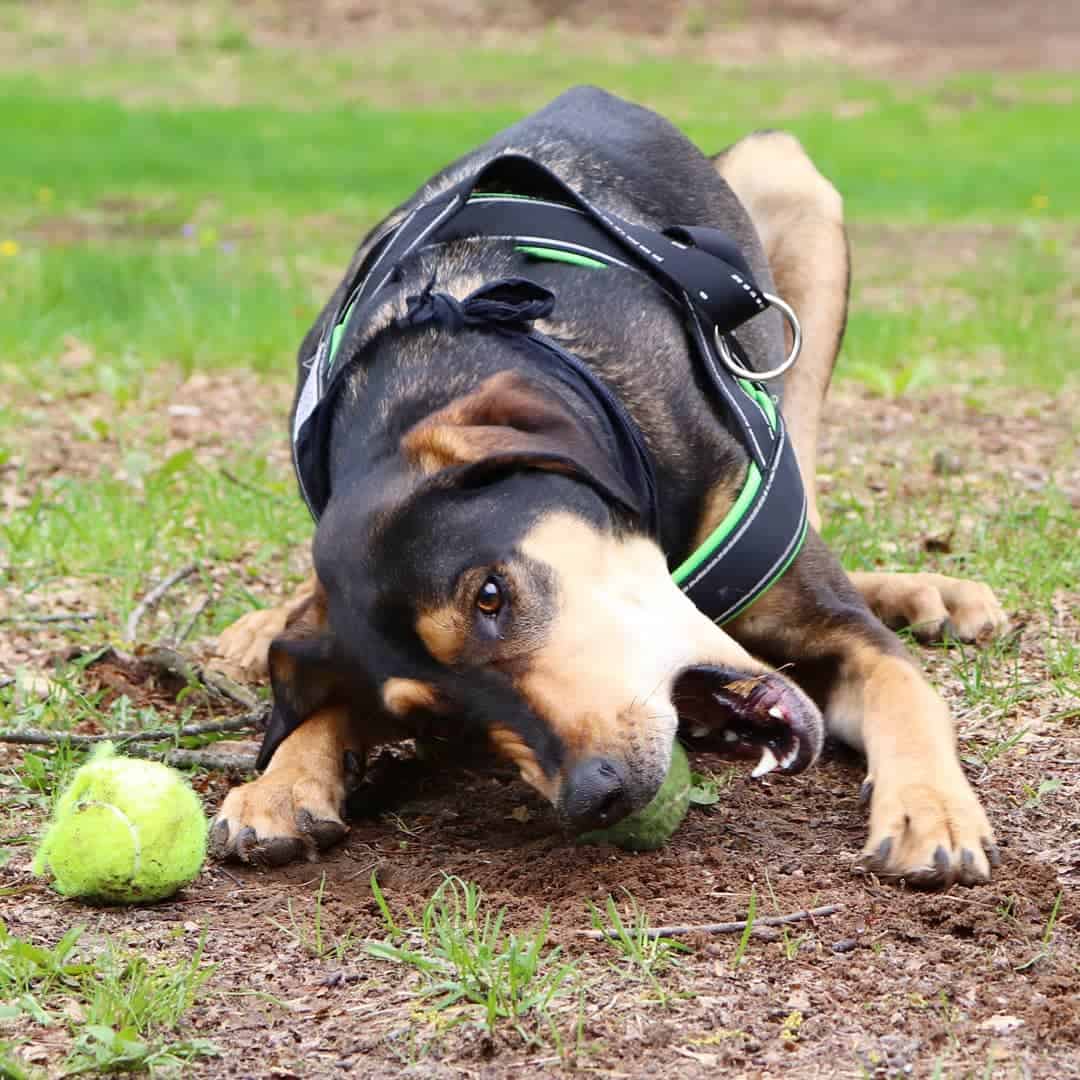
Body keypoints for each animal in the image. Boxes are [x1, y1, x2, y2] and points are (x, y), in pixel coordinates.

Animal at [212, 88, 1010, 885]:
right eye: (437, 720)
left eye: (491, 596)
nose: (599, 796)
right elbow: (318, 699)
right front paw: (283, 779)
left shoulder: (836, 622)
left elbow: (904, 688)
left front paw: (929, 810)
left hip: (787, 191)